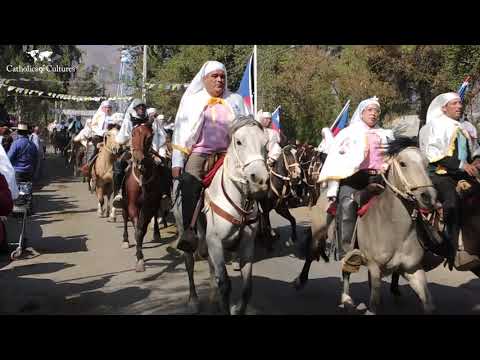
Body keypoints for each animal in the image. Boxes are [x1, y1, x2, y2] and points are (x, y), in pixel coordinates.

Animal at [122, 122, 172, 272]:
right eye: (132, 134)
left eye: (149, 137)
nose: (138, 158)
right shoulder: (132, 205)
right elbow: (137, 228)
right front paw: (139, 256)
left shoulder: (149, 204)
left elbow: (141, 229)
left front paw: (140, 257)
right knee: (125, 217)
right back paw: (125, 240)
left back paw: (156, 233)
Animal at [173, 116, 270, 316]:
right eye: (239, 142)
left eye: (265, 143)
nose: (260, 180)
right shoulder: (216, 242)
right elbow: (225, 284)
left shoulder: (246, 243)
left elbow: (247, 287)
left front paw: (236, 308)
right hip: (184, 230)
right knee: (189, 264)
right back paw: (193, 301)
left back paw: (213, 296)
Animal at [292, 138, 438, 316]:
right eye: (403, 163)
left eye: (426, 164)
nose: (429, 197)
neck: (395, 229)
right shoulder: (375, 268)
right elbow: (374, 304)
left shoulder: (413, 270)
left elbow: (428, 304)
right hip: (319, 233)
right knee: (311, 254)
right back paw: (300, 281)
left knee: (346, 269)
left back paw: (347, 300)